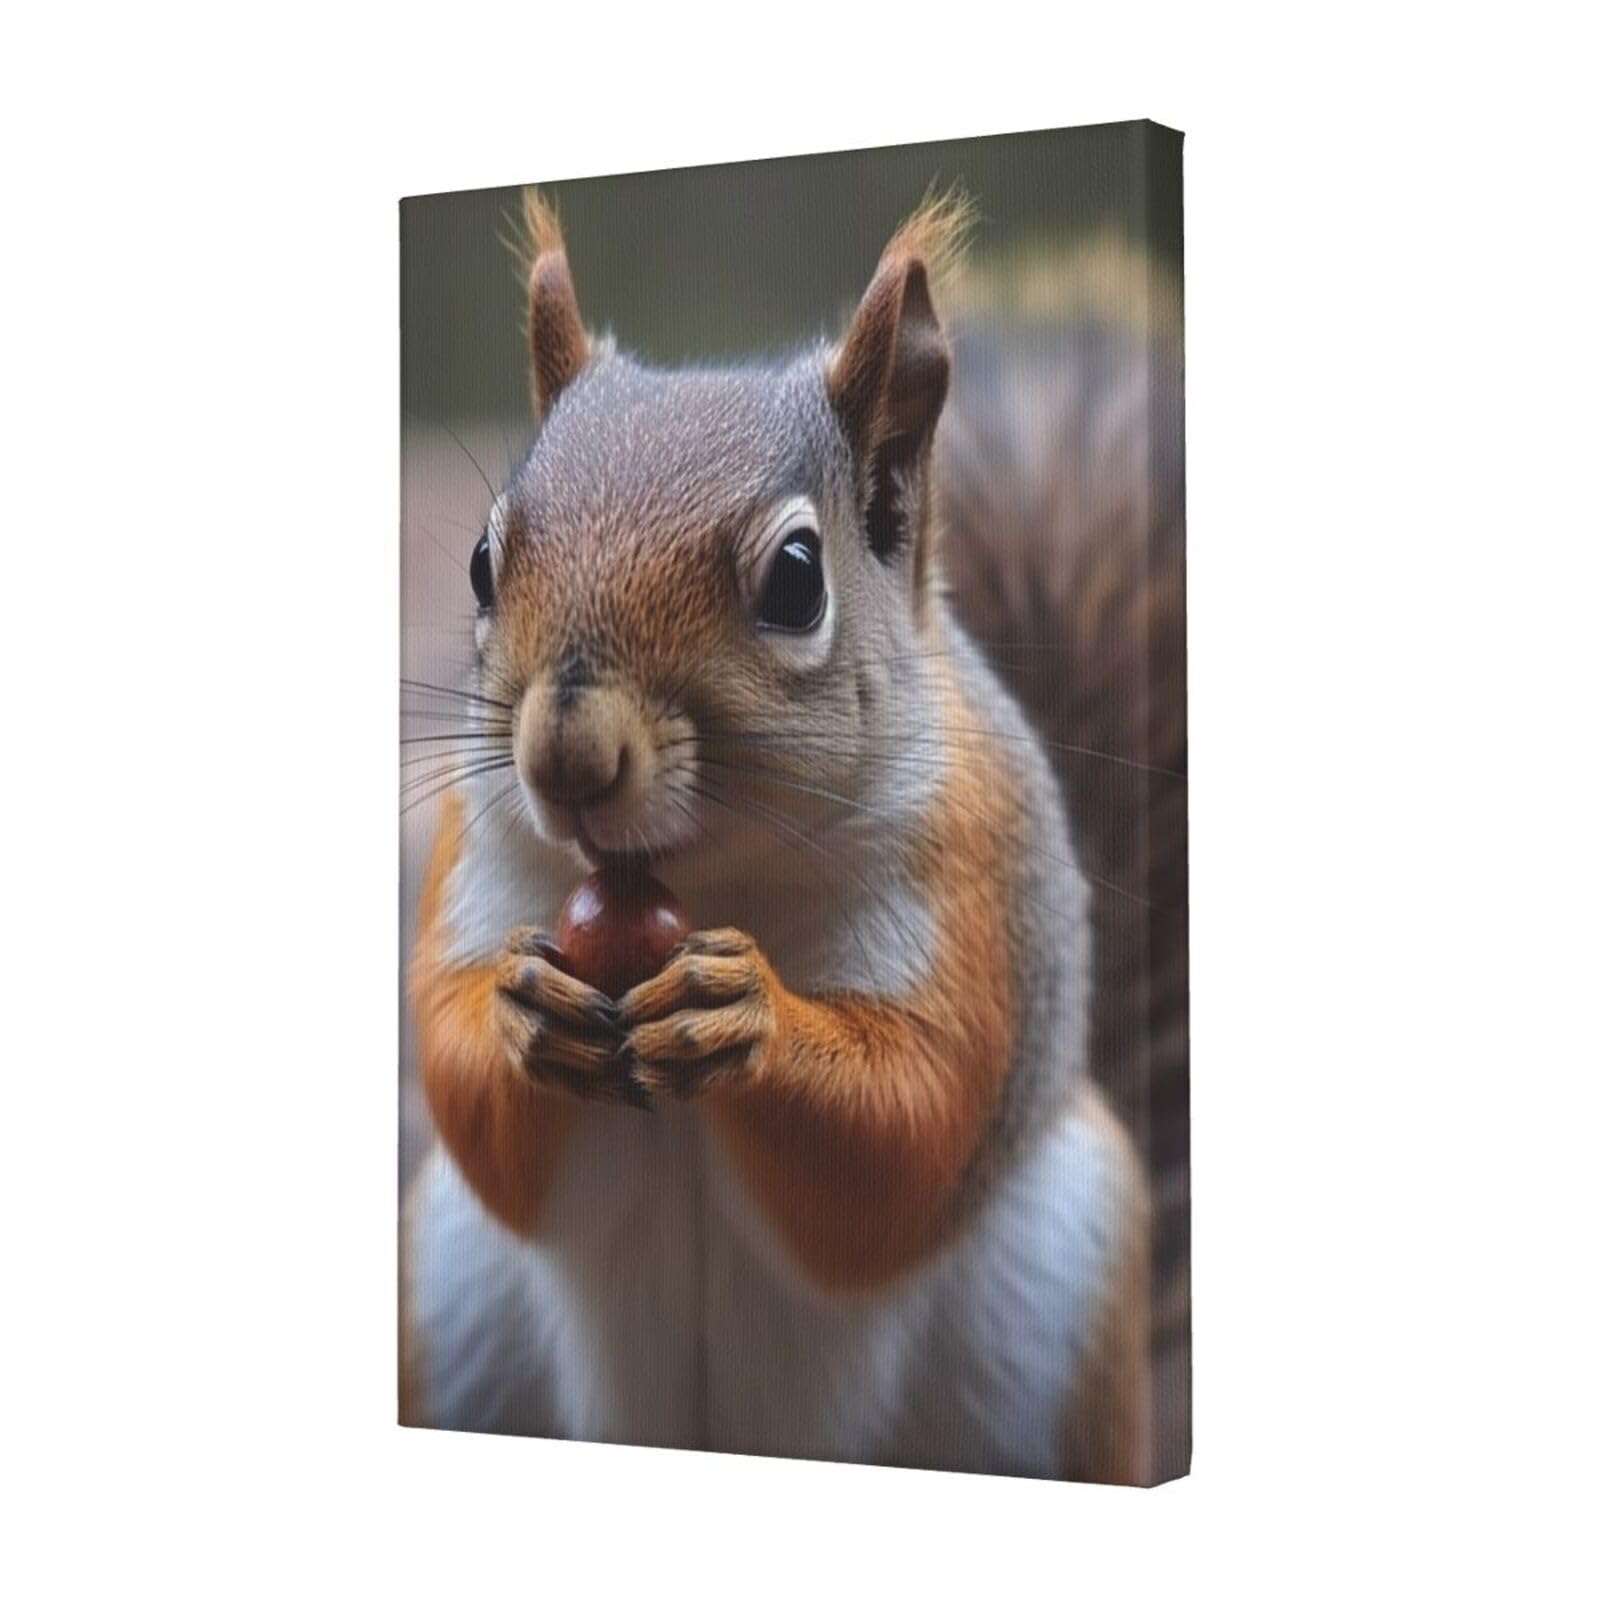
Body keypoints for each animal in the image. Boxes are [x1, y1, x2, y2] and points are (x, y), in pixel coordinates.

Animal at [401, 189, 1183, 1485]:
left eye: (796, 580)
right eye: (479, 562)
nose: (565, 758)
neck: (703, 876)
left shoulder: (969, 872)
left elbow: (908, 1125)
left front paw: (748, 1016)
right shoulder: (481, 855)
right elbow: (466, 1089)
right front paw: (519, 1013)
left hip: (1060, 1298)